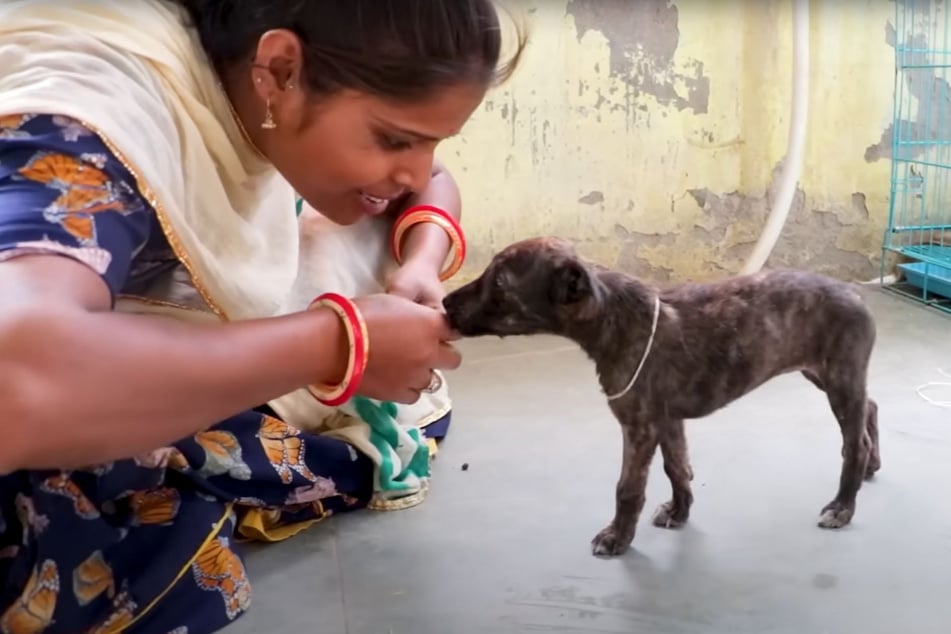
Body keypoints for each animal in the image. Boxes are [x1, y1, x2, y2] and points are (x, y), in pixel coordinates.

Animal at [442, 236, 880, 552]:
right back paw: (872, 466)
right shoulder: (668, 420)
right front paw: (679, 511)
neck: (613, 317)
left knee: (852, 441)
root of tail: (855, 294)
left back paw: (843, 505)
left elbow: (628, 488)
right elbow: (677, 469)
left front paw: (617, 537)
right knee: (870, 407)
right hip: (824, 373)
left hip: (837, 377)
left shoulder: (639, 427)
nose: (444, 302)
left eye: (500, 281)